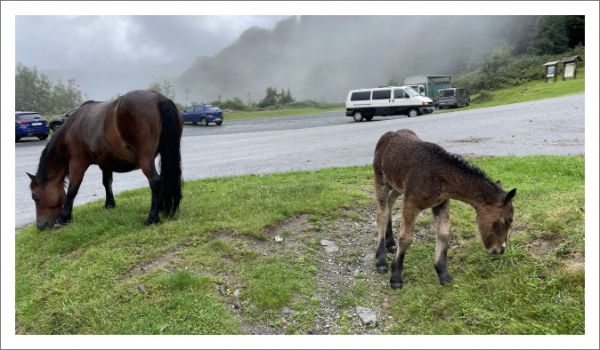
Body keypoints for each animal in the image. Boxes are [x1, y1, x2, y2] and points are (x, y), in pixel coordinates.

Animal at [28, 89, 183, 228]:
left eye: (35, 197)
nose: (40, 226)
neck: (71, 129)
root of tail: (160, 99)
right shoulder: (105, 162)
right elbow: (106, 182)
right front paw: (109, 204)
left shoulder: (78, 163)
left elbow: (72, 190)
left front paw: (64, 217)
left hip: (146, 158)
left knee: (155, 181)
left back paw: (152, 218)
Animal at [370, 130, 516, 288]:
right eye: (506, 221)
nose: (500, 249)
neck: (439, 175)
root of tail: (389, 134)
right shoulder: (411, 203)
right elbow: (406, 238)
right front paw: (396, 277)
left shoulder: (442, 203)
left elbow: (444, 233)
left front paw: (443, 274)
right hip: (381, 178)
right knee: (382, 213)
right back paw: (381, 260)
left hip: (397, 185)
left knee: (390, 202)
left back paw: (390, 243)